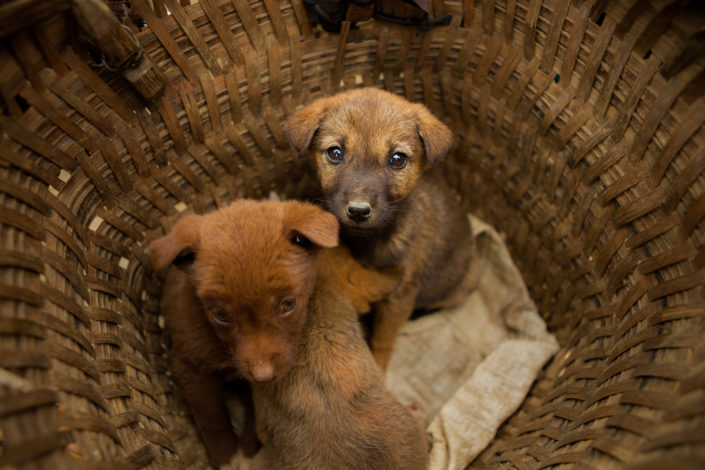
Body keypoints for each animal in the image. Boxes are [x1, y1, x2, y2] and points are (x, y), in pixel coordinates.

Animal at [148, 200, 338, 468]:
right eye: (220, 315)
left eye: (288, 304)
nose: (263, 375)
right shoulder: (189, 367)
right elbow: (211, 416)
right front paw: (225, 456)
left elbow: (254, 413)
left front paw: (248, 449)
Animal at [286, 86, 472, 370]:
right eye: (335, 153)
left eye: (397, 159)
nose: (358, 211)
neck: (366, 242)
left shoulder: (399, 298)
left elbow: (383, 341)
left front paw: (380, 367)